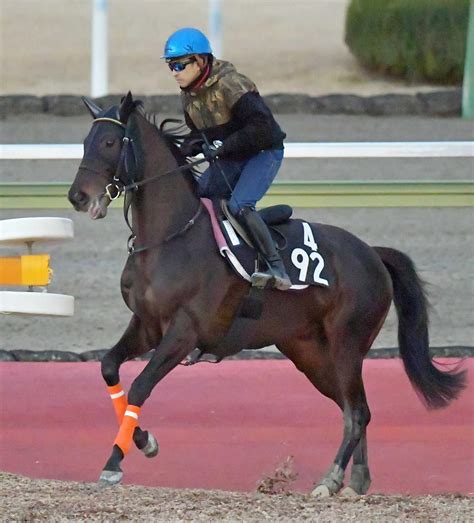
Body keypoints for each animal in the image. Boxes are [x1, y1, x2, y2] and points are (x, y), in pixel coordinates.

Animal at [68, 92, 464, 498]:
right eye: (85, 141)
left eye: (110, 142)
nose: (77, 196)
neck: (171, 237)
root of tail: (372, 252)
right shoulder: (147, 325)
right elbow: (109, 368)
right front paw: (144, 441)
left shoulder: (184, 332)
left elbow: (140, 387)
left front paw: (115, 462)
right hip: (309, 353)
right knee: (353, 408)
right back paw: (356, 479)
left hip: (347, 344)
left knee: (357, 411)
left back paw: (330, 479)